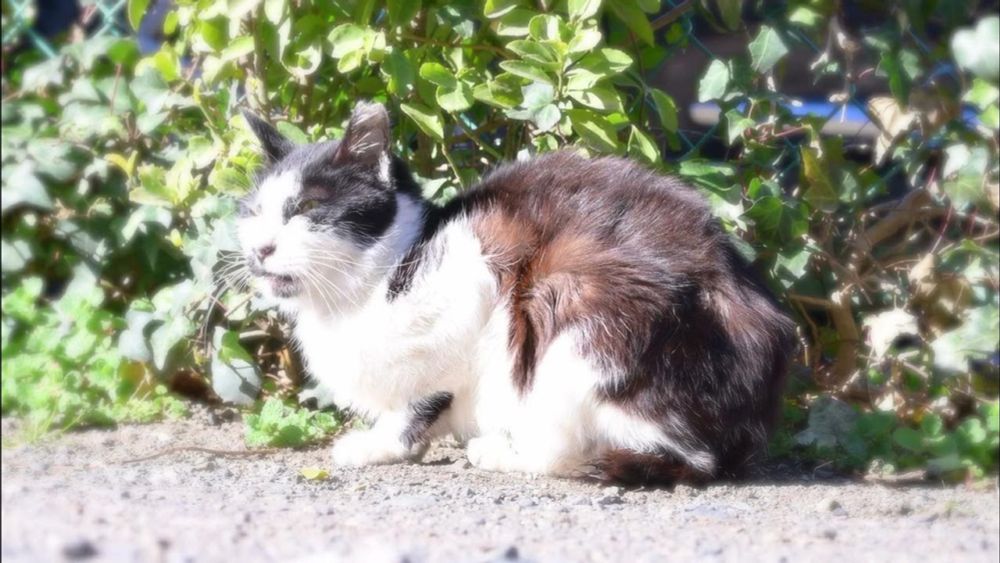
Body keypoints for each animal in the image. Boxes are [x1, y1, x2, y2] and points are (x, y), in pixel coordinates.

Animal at [236, 100, 796, 484]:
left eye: (307, 208)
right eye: (254, 212)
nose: (260, 248)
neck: (376, 281)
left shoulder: (475, 283)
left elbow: (418, 402)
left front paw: (379, 446)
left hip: (576, 310)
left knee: (576, 450)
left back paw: (501, 452)